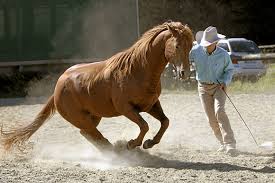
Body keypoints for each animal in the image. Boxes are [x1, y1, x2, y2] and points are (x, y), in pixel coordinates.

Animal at [1, 21, 193, 152]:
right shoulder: (126, 108)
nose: (184, 73)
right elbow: (144, 125)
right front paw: (133, 143)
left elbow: (165, 122)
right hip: (80, 118)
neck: (137, 70)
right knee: (91, 133)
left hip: (94, 116)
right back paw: (113, 149)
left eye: (190, 46)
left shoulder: (151, 105)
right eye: (177, 46)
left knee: (87, 133)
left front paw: (149, 143)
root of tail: (58, 87)